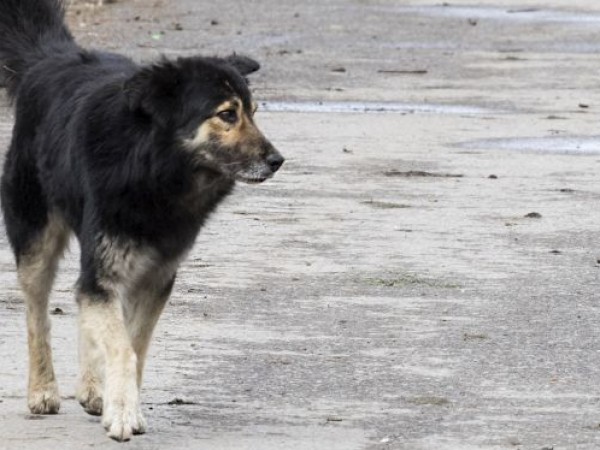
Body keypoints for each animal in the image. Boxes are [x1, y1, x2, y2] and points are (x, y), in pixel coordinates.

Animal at [0, 0, 284, 442]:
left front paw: (119, 402)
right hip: (35, 240)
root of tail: (53, 57)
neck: (154, 171)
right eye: (227, 114)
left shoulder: (155, 278)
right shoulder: (106, 270)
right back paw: (43, 389)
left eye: (253, 113)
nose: (277, 161)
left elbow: (133, 344)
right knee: (37, 314)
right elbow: (120, 346)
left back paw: (92, 389)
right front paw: (122, 414)